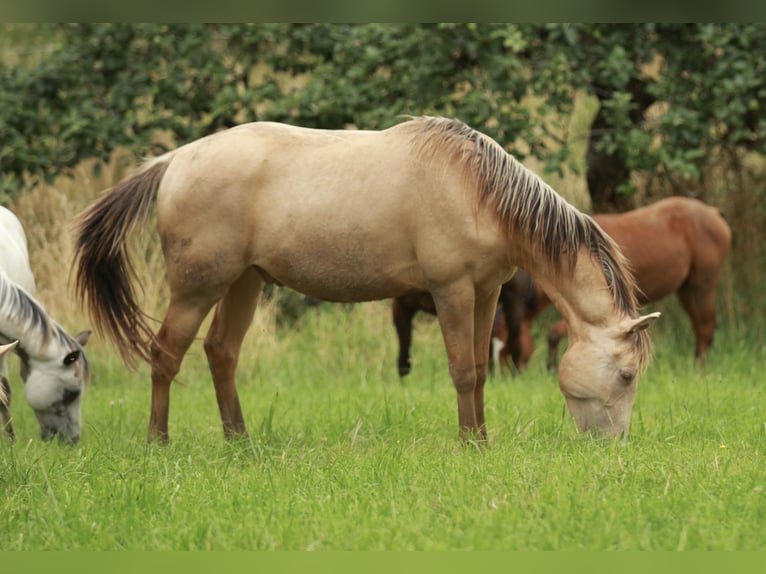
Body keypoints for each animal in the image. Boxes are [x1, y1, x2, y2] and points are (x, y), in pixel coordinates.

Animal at [72, 116, 660, 440]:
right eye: (627, 375)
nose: (614, 444)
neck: (478, 191)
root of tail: (176, 160)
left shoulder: (487, 292)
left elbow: (479, 370)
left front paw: (483, 439)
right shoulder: (452, 292)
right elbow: (461, 372)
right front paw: (469, 445)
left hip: (245, 282)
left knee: (221, 353)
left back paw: (240, 442)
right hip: (198, 288)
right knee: (165, 355)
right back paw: (159, 442)